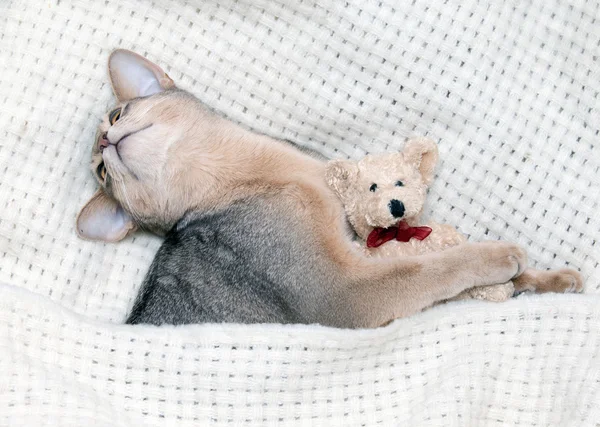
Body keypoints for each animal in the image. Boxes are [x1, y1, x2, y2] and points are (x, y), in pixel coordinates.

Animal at [77, 48, 584, 326]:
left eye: (117, 114)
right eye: (101, 173)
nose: (104, 142)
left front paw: (551, 281)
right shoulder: (344, 292)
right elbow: (428, 271)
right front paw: (496, 256)